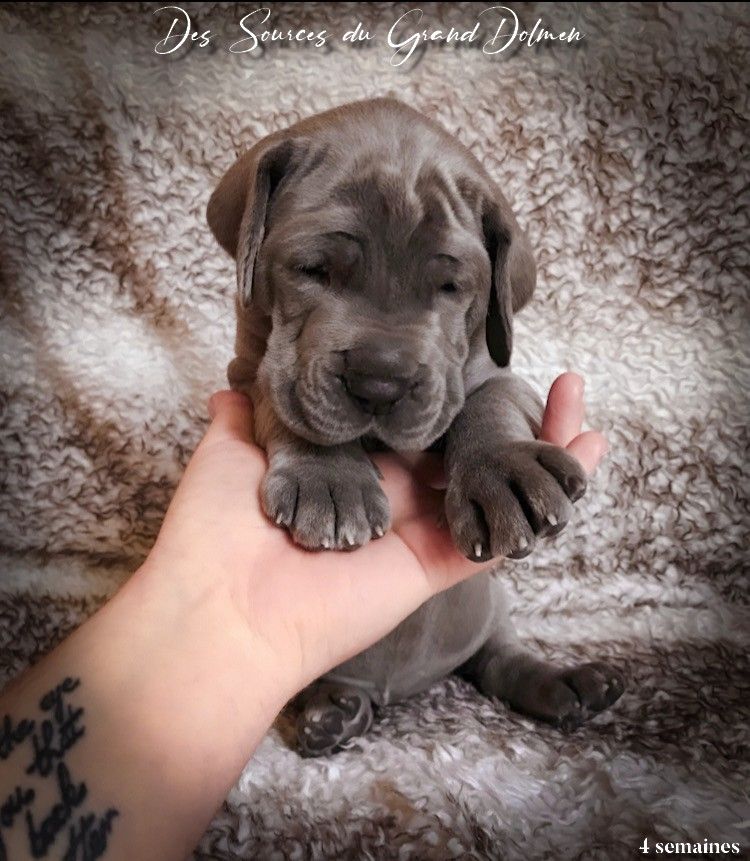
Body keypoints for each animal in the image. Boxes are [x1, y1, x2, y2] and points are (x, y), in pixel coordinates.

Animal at [209, 99, 624, 752]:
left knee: (499, 659)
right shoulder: (248, 375)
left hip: (490, 606)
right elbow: (285, 405)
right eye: (312, 269)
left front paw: (501, 475)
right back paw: (330, 710)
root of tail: (399, 690)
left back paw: (568, 686)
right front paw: (330, 481)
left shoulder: (498, 375)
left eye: (451, 287)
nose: (380, 380)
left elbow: (489, 405)